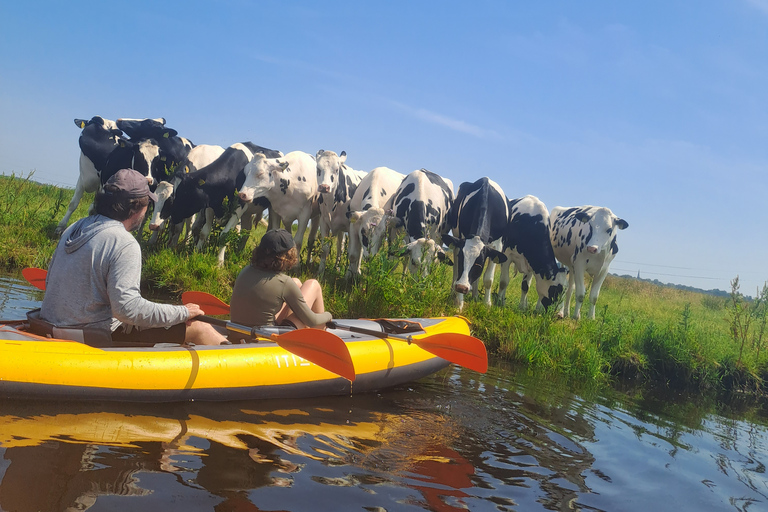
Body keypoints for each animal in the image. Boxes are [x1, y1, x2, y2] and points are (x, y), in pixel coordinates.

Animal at [440, 178, 508, 310]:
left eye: (478, 264)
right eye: (461, 259)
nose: (462, 287)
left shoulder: (497, 246)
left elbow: (488, 279)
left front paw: (487, 304)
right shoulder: (460, 240)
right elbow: (459, 271)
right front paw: (459, 303)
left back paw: (475, 296)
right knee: (455, 272)